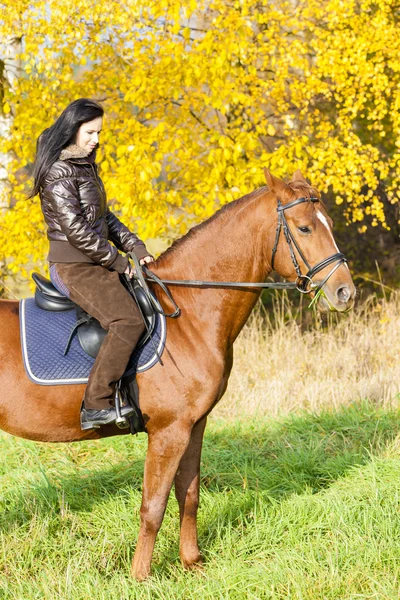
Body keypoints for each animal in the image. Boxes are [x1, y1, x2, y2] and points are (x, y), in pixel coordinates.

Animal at [0, 170, 356, 580]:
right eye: (304, 228)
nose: (345, 292)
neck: (188, 314)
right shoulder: (168, 431)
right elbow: (152, 507)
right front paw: (140, 577)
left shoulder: (194, 424)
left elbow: (189, 494)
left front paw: (191, 562)